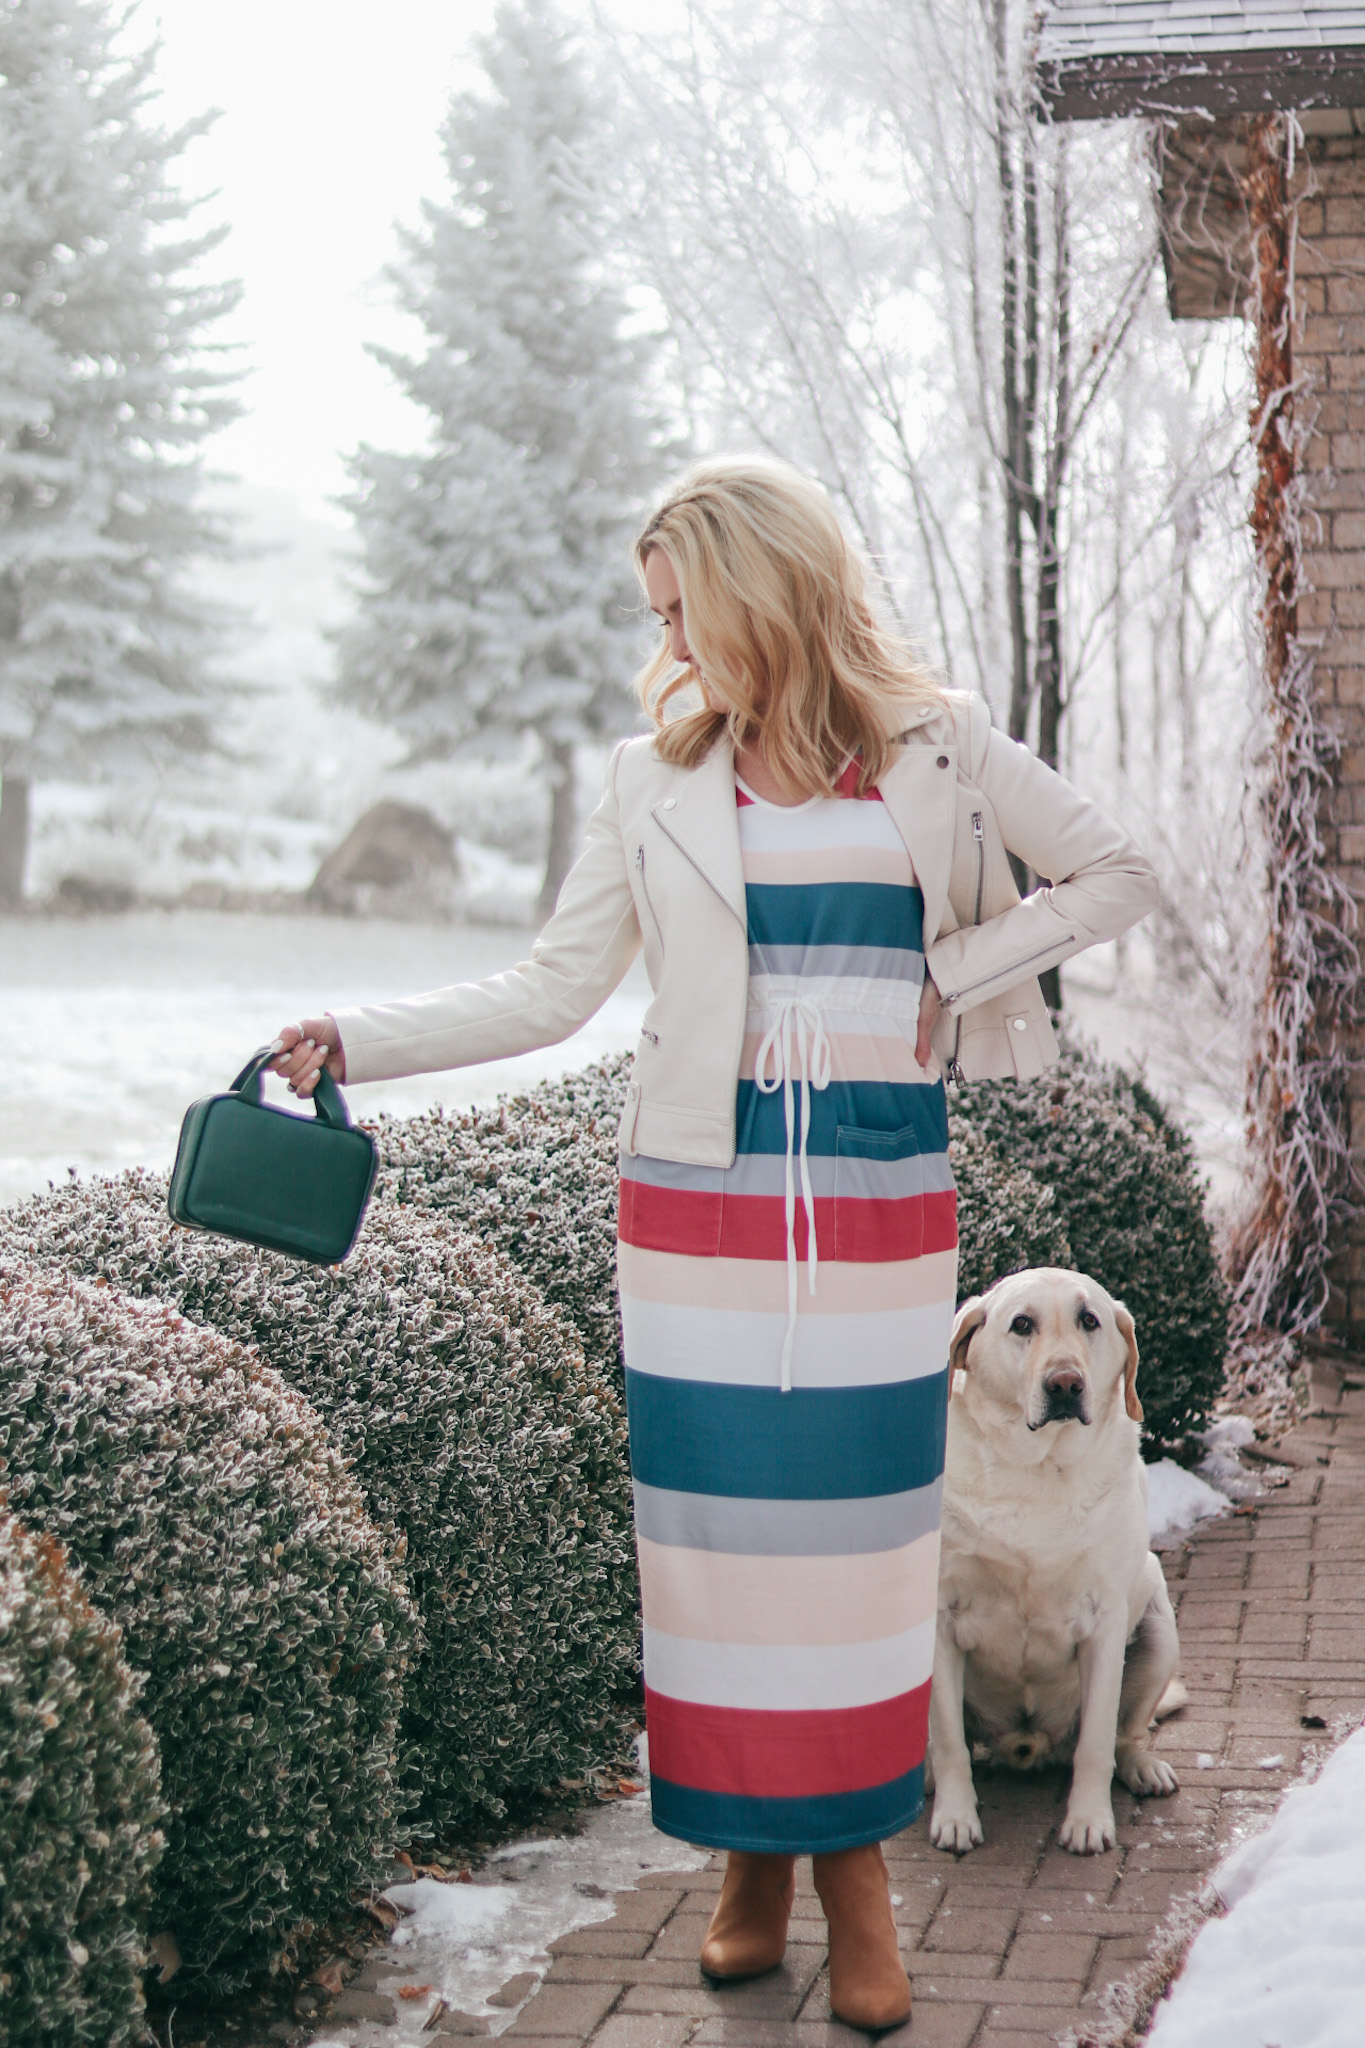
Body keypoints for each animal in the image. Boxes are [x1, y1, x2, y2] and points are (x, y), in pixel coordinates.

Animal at [929, 1261, 1186, 1859]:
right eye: (1021, 1324)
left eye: (1089, 1320)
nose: (1065, 1383)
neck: (1037, 1471)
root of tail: (1026, 1744)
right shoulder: (940, 1621)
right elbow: (949, 1742)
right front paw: (955, 1817)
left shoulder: (1105, 1622)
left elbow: (1095, 1742)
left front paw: (1089, 1821)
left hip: (1158, 1622)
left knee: (1124, 1734)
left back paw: (1142, 1768)